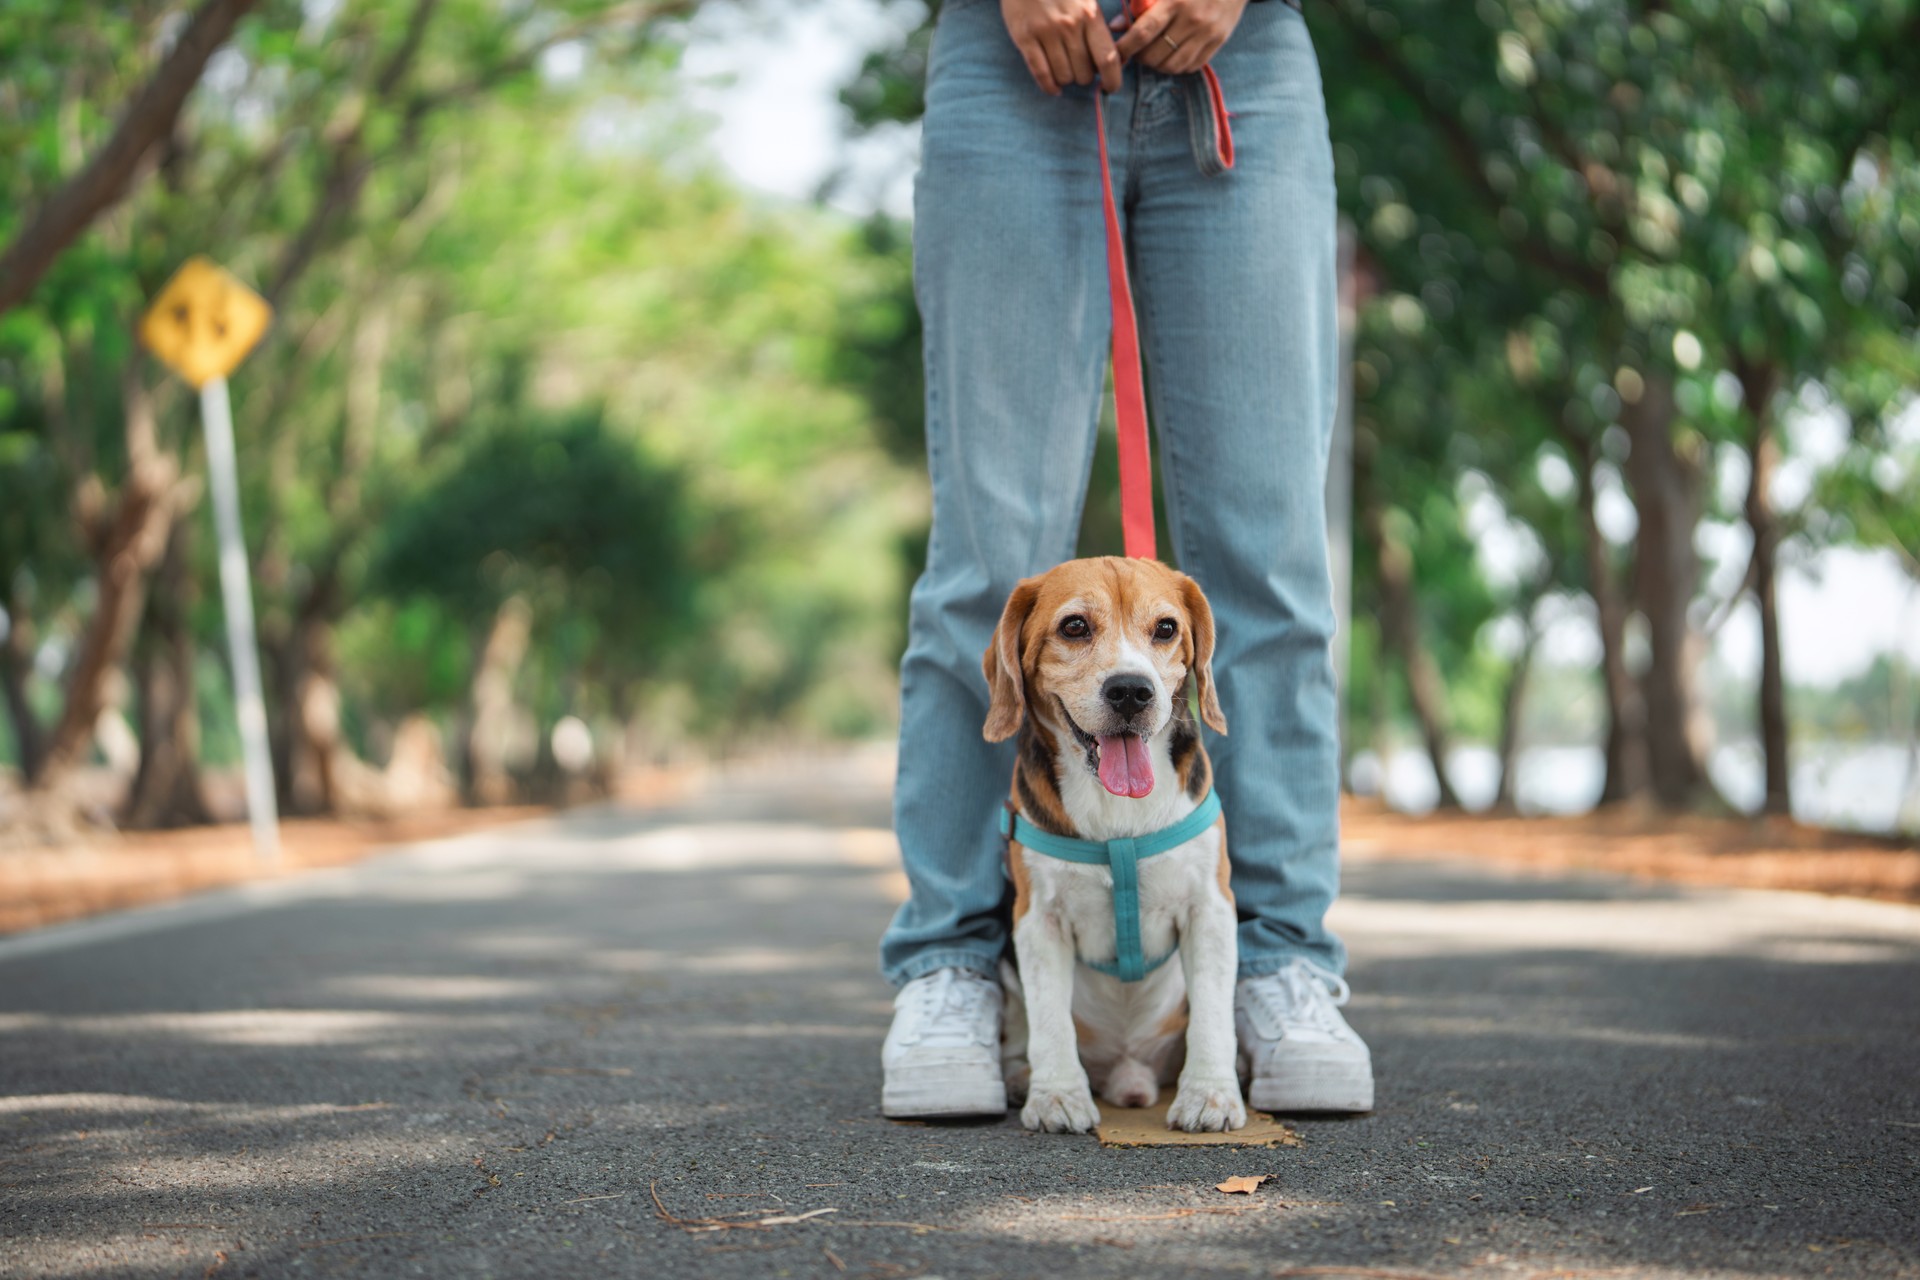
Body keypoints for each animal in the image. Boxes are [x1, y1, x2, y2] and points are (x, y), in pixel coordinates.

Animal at [990, 556, 1244, 1128]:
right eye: (1074, 626)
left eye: (1166, 628)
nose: (1131, 690)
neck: (1116, 820)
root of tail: (1129, 1075)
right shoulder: (1038, 921)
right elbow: (1050, 1019)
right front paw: (1057, 1097)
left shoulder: (1211, 909)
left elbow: (1212, 1014)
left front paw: (1210, 1096)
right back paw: (1018, 1079)